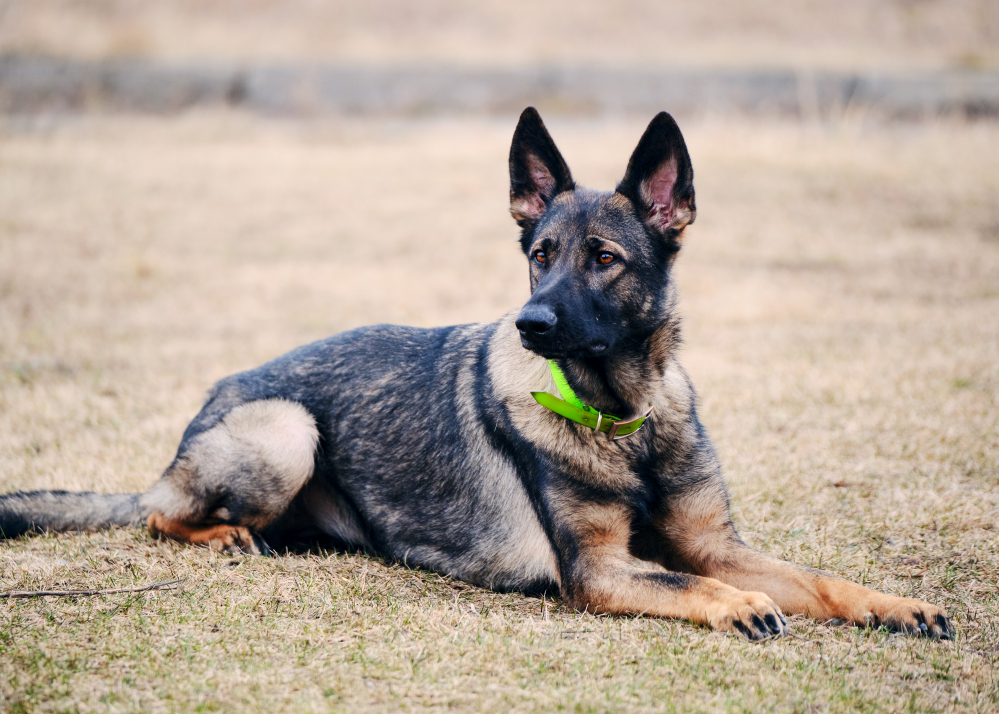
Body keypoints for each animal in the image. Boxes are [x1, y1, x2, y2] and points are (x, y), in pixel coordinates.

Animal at [0, 108, 951, 640]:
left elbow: (812, 578)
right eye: (539, 255)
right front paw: (735, 605)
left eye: (603, 258)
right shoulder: (600, 572)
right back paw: (222, 534)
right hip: (285, 428)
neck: (621, 421)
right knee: (160, 516)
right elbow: (694, 582)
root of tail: (202, 413)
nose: (531, 324)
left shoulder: (717, 540)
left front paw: (895, 605)